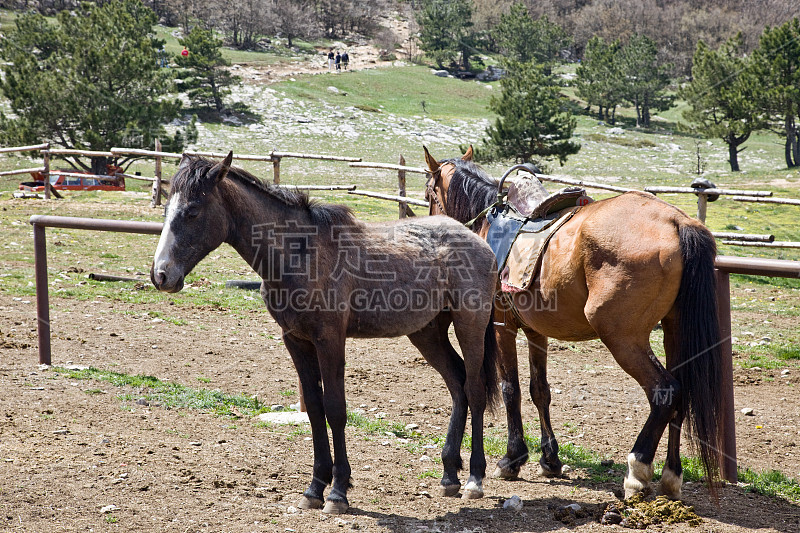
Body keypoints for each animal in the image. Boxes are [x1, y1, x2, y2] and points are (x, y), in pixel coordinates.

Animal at [152, 152, 500, 512]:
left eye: (193, 210)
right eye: (166, 210)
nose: (161, 275)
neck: (299, 254)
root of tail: (478, 241)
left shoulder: (329, 340)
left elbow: (335, 409)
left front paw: (338, 492)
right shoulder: (296, 341)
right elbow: (315, 411)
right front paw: (314, 488)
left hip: (469, 323)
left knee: (474, 389)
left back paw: (474, 479)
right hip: (427, 332)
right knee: (457, 384)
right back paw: (449, 476)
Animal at [424, 145, 724, 498]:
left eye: (429, 192)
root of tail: (677, 221)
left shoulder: (502, 326)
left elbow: (511, 389)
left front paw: (512, 459)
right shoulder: (535, 331)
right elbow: (539, 390)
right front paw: (549, 459)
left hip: (622, 337)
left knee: (665, 392)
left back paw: (637, 470)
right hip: (674, 332)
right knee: (682, 393)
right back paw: (671, 475)